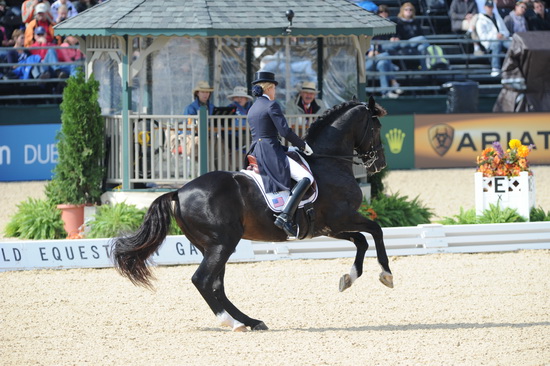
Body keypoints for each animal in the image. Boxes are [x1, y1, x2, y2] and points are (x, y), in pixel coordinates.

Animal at [112, 96, 394, 332]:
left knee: (217, 285)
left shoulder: (329, 227)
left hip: (212, 245)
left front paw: (348, 278)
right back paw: (233, 323)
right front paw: (386, 275)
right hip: (223, 243)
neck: (328, 162)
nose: (380, 164)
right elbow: (376, 231)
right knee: (202, 280)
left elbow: (361, 240)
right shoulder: (341, 217)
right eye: (377, 127)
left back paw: (251, 321)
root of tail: (179, 191)